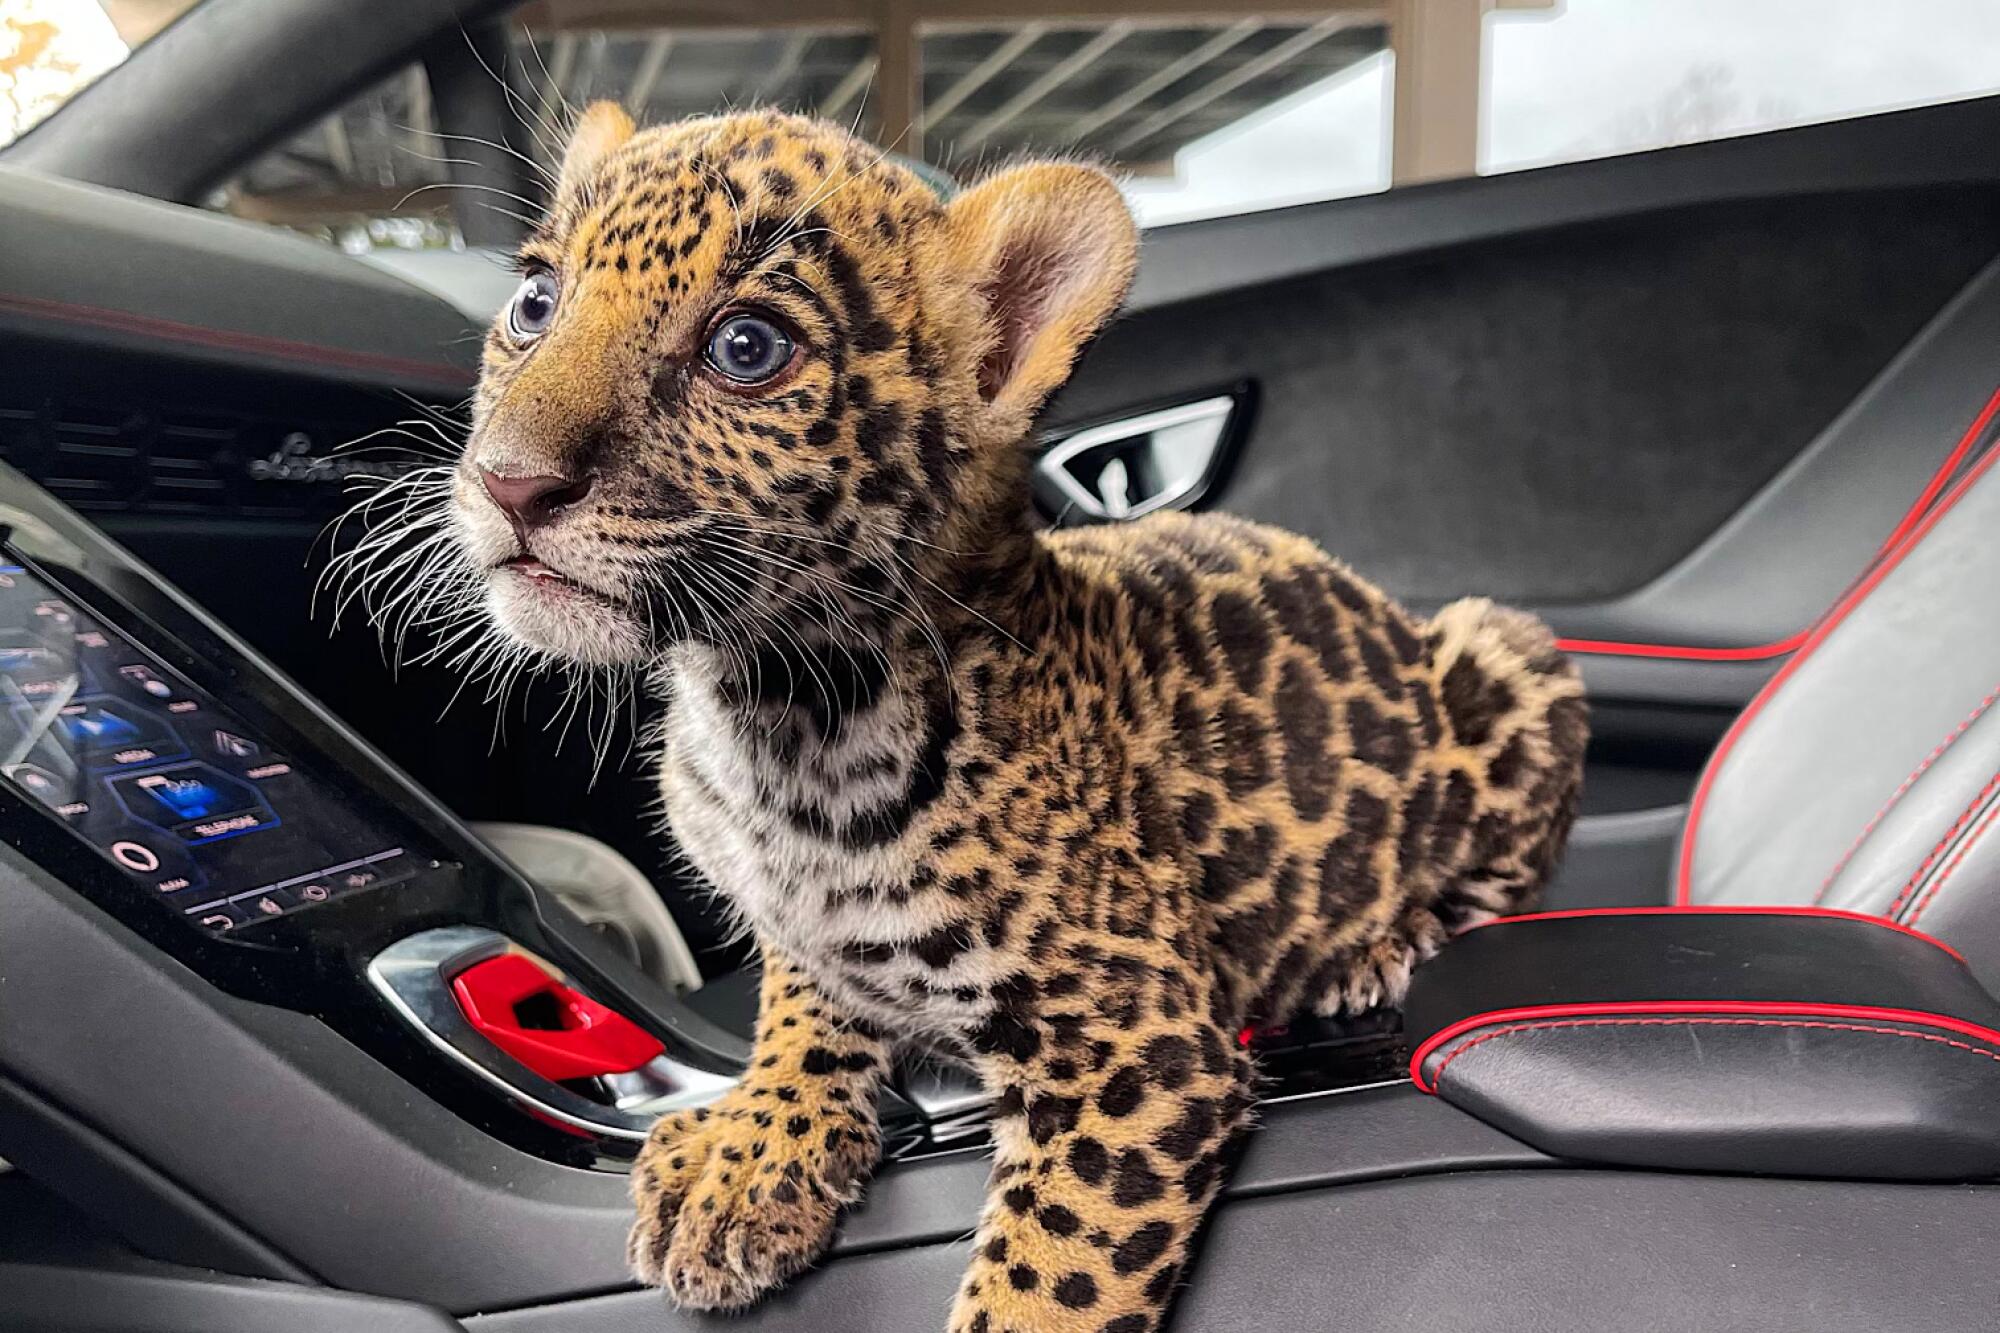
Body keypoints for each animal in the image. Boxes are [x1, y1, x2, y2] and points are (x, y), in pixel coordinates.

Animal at [434, 101, 1588, 1333]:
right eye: (535, 302)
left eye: (746, 348)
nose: (508, 481)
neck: (771, 716)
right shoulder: (800, 928)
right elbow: (802, 999)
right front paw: (750, 1145)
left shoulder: (1137, 1048)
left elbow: (1046, 1279)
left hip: (1505, 651)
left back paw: (1373, 946)